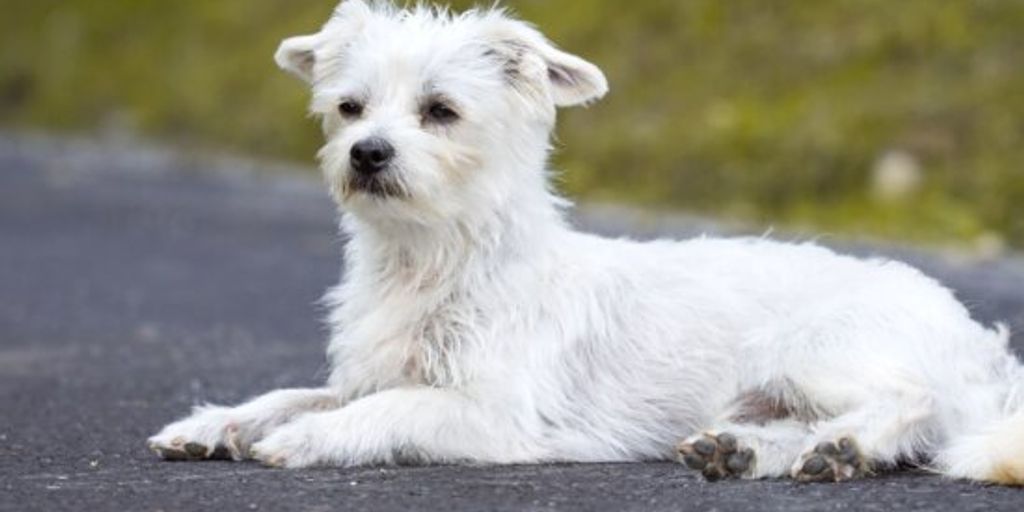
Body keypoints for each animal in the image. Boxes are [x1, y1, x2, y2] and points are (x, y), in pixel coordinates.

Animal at [148, 0, 1024, 485]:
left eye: (440, 111)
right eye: (349, 108)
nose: (367, 154)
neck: (437, 260)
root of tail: (979, 344)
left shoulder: (492, 414)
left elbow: (388, 408)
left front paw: (310, 438)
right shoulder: (374, 373)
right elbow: (297, 393)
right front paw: (218, 423)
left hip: (812, 348)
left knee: (910, 405)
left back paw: (842, 447)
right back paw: (756, 453)